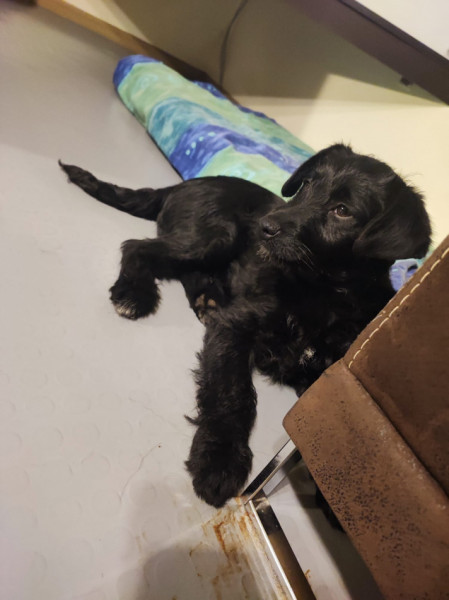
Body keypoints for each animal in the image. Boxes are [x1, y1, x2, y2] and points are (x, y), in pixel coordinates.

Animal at [60, 144, 431, 508]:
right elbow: (232, 393)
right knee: (138, 247)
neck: (322, 292)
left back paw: (207, 299)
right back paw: (134, 293)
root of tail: (183, 185)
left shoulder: (326, 376)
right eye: (307, 184)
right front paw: (219, 461)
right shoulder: (234, 328)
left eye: (343, 210)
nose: (265, 226)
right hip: (217, 235)